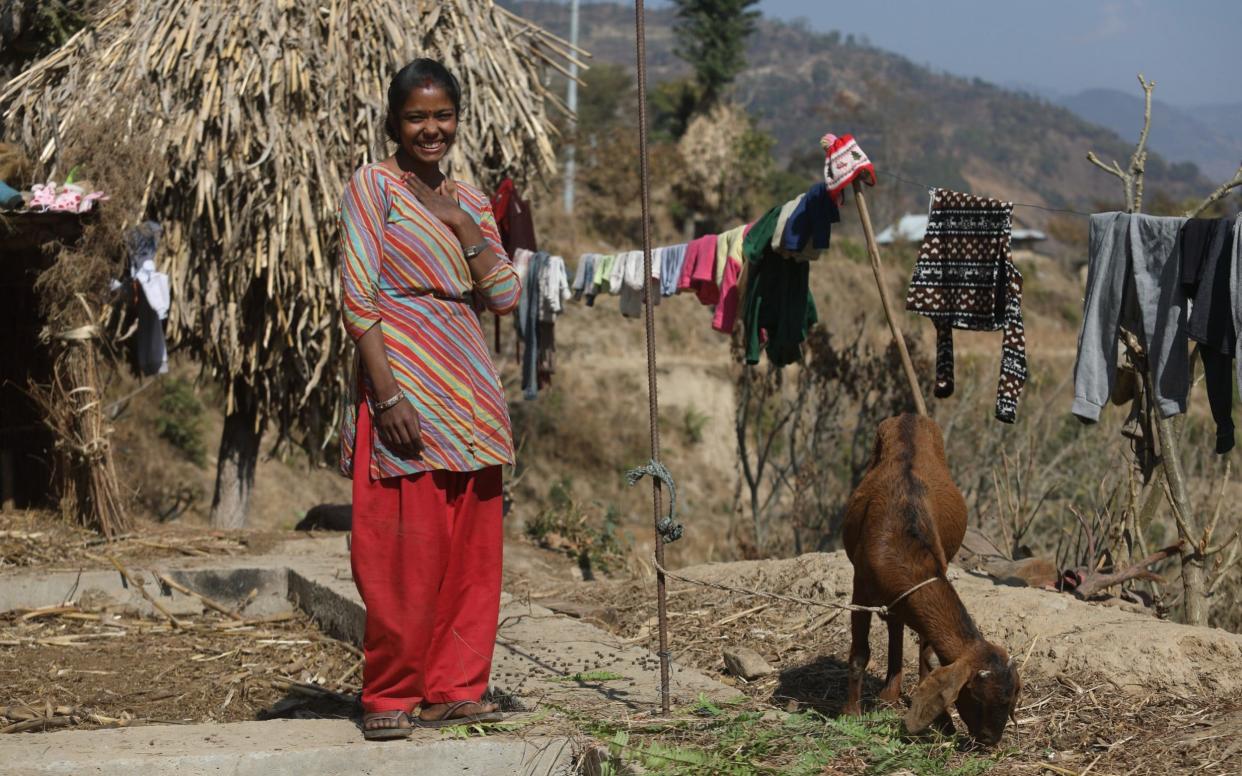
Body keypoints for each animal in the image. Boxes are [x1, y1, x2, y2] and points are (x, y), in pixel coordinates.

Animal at [844, 412, 1018, 744]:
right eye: (977, 696)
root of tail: (909, 416)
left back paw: (891, 692)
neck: (900, 545)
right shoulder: (860, 586)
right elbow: (860, 653)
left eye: (1011, 698)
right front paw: (850, 714)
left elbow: (926, 650)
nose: (990, 740)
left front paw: (940, 719)